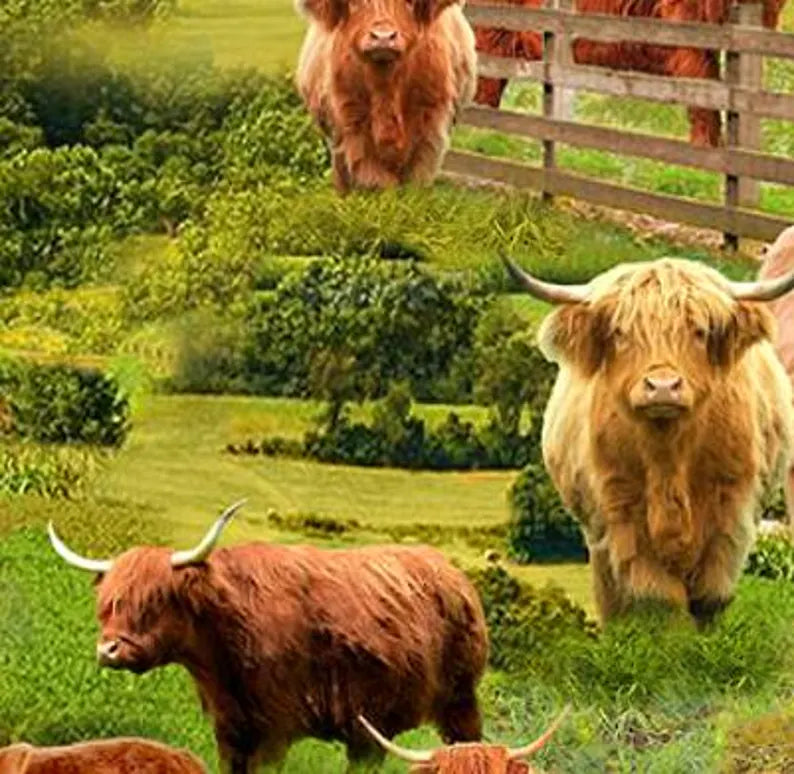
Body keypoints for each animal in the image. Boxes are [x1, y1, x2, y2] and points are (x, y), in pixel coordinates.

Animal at [47, 501, 489, 774]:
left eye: (155, 600)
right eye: (107, 603)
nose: (109, 650)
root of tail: (453, 574)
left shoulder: (276, 728)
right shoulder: (230, 729)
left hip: (460, 701)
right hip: (370, 723)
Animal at [294, 0, 477, 193]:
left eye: (410, 2)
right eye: (355, 2)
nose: (383, 37)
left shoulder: (429, 131)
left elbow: (415, 183)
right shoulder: (355, 128)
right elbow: (378, 182)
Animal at [501, 253, 794, 626]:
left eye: (700, 331)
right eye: (620, 333)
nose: (663, 387)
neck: (670, 456)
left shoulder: (732, 511)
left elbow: (710, 596)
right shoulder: (623, 515)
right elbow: (659, 599)